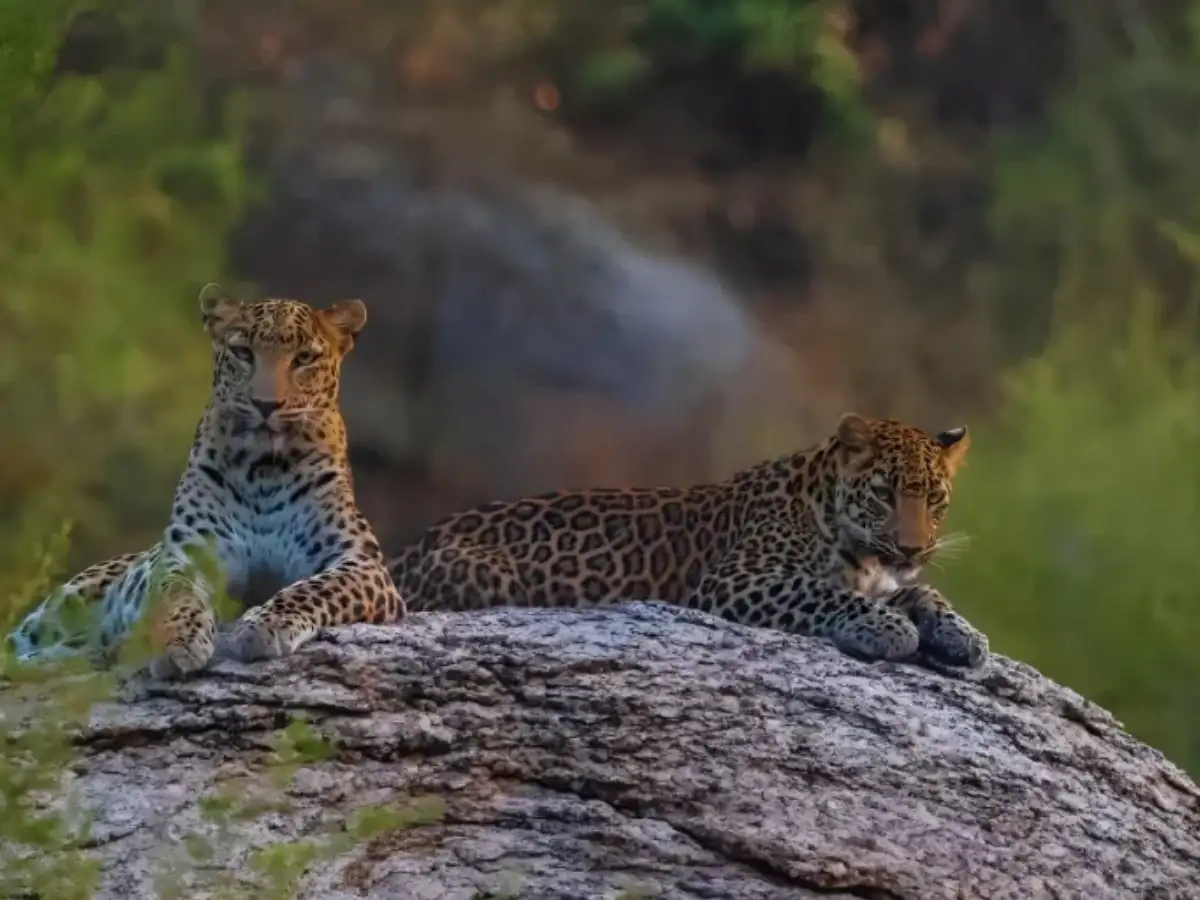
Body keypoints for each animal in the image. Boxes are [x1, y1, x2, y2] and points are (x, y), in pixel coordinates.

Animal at [6, 289, 404, 679]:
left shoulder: (360, 561)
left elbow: (312, 588)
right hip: (60, 606)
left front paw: (265, 625)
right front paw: (179, 642)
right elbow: (177, 596)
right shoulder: (189, 554)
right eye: (243, 353)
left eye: (304, 358)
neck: (265, 468)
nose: (265, 404)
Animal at [388, 413, 988, 669]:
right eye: (884, 494)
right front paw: (889, 629)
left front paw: (964, 636)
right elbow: (824, 593)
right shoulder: (736, 580)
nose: (912, 549)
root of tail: (405, 551)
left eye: (935, 499)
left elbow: (924, 594)